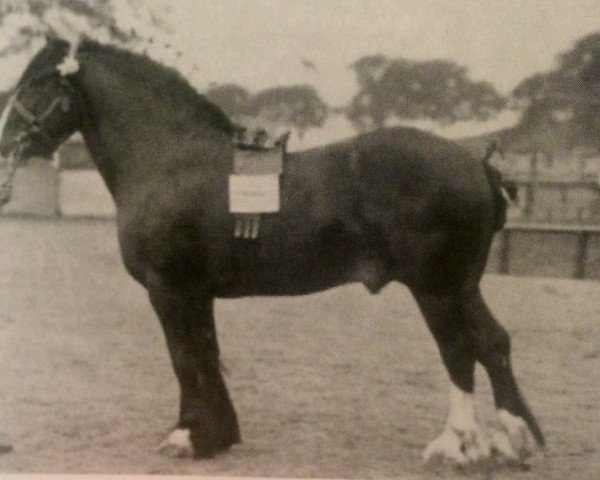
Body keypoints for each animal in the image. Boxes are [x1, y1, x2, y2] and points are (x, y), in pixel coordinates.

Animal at [0, 37, 544, 464]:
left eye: (36, 84)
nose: (5, 143)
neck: (168, 158)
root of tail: (476, 163)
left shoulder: (168, 288)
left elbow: (183, 357)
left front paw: (186, 437)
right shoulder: (196, 292)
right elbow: (205, 352)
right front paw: (217, 435)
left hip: (436, 288)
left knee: (458, 350)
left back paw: (455, 446)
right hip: (462, 286)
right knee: (493, 343)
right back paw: (510, 441)